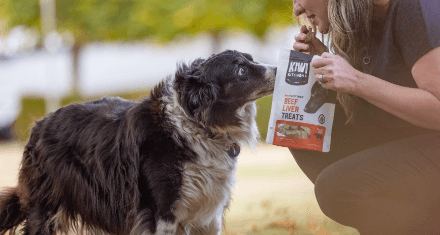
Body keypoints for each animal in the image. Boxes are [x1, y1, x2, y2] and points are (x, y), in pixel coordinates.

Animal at [0, 50, 276, 235]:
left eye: (251, 59)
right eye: (240, 70)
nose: (277, 69)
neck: (198, 126)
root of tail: (38, 125)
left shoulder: (209, 215)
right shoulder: (161, 211)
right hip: (46, 208)